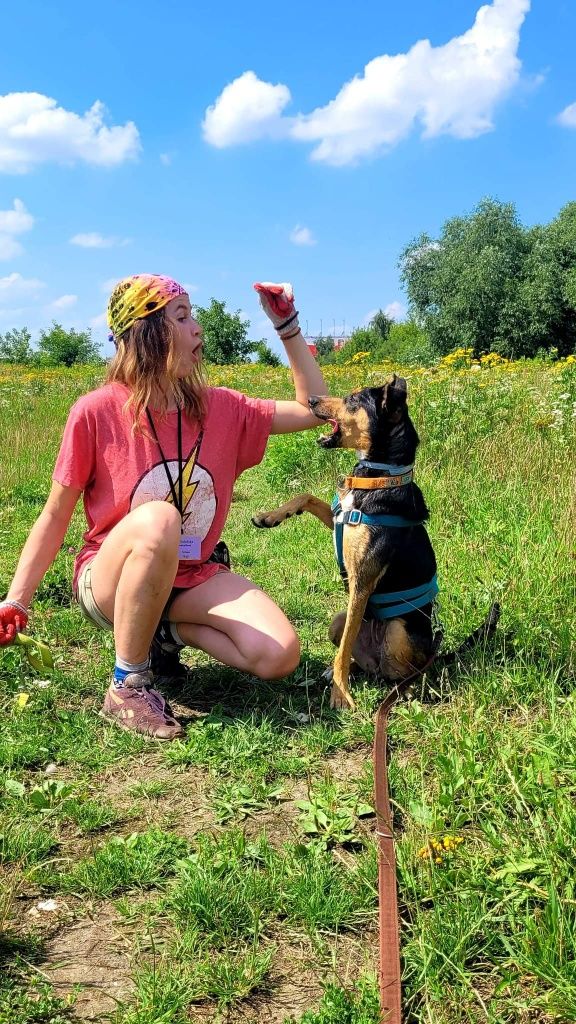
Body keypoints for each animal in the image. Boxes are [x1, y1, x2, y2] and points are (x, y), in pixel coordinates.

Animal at [253, 376, 440, 712]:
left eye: (353, 400)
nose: (311, 400)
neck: (377, 479)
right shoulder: (338, 518)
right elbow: (306, 497)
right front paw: (270, 516)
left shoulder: (362, 582)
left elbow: (344, 647)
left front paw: (340, 694)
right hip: (336, 621)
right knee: (358, 656)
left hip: (399, 632)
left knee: (401, 669)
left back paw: (402, 689)